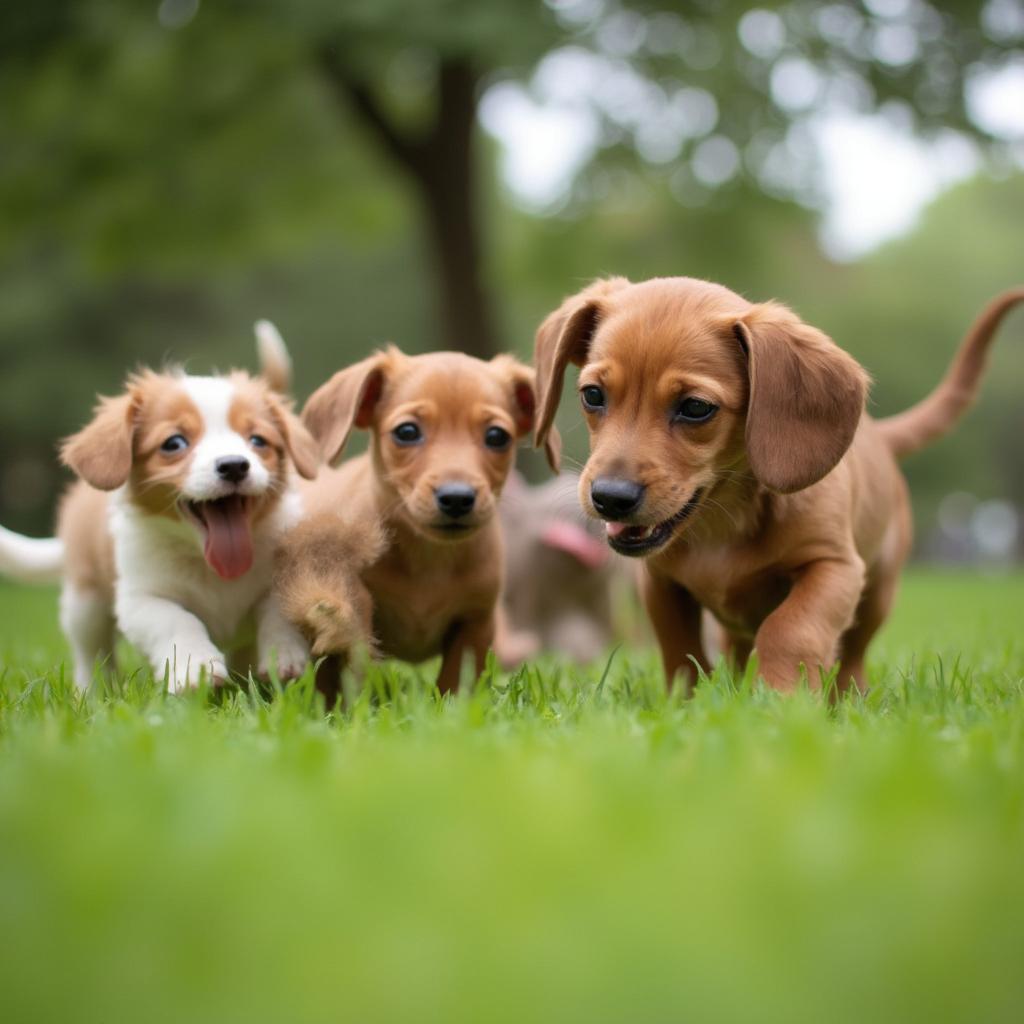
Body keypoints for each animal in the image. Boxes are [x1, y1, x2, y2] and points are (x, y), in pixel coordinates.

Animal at [2, 364, 317, 692]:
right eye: (174, 443)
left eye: (257, 440)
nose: (234, 465)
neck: (209, 565)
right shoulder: (141, 600)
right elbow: (178, 620)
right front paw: (196, 668)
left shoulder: (282, 577)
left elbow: (278, 612)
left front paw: (285, 656)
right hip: (84, 605)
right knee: (92, 653)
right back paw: (93, 690)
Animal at [288, 346, 561, 696]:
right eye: (407, 432)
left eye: (497, 436)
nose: (456, 497)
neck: (429, 559)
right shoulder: (351, 608)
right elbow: (350, 667)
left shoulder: (475, 620)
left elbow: (458, 680)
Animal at [536, 278, 1024, 696]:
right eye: (592, 395)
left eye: (695, 407)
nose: (609, 498)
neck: (722, 522)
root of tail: (878, 433)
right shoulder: (659, 583)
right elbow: (680, 651)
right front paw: (685, 705)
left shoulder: (834, 568)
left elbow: (790, 629)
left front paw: (779, 701)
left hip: (878, 591)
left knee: (853, 657)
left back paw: (847, 698)